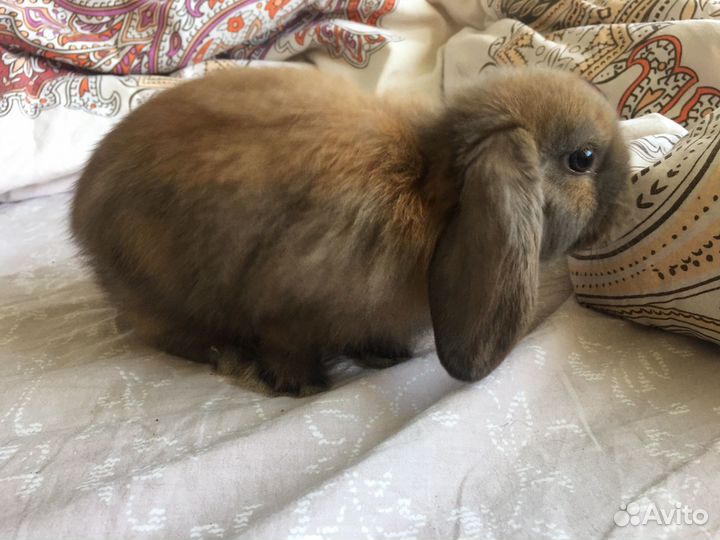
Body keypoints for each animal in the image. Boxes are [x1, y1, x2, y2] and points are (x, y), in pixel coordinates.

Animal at [71, 66, 628, 396]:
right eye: (583, 159)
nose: (621, 203)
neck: (432, 186)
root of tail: (80, 215)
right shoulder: (286, 304)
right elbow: (287, 348)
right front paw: (304, 388)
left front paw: (384, 354)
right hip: (153, 288)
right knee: (171, 334)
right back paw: (233, 359)